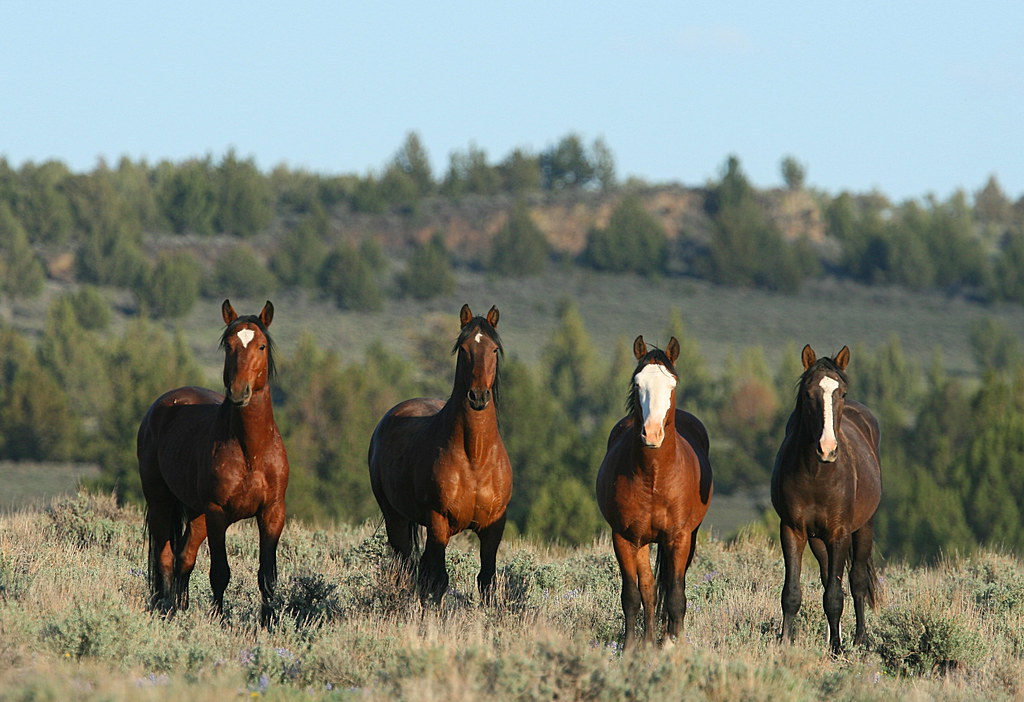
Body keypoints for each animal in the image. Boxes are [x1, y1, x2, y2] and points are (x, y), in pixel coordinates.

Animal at [137, 300, 289, 626]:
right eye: (228, 345)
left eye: (261, 346)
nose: (239, 391)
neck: (251, 451)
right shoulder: (218, 513)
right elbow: (220, 573)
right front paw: (218, 620)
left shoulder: (272, 513)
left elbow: (267, 575)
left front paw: (268, 622)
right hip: (160, 500)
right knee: (164, 556)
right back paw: (165, 608)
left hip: (196, 513)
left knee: (184, 557)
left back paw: (179, 607)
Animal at [368, 304, 512, 603]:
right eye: (464, 348)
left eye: (494, 349)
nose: (478, 396)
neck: (475, 456)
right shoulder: (438, 522)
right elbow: (437, 580)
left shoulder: (493, 527)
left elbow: (486, 579)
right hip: (395, 517)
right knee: (405, 565)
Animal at [596, 336, 713, 648]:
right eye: (638, 384)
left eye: (672, 384)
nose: (652, 434)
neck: (654, 478)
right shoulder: (624, 538)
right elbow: (633, 595)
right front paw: (631, 648)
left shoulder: (679, 538)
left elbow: (675, 595)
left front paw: (674, 643)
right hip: (643, 542)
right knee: (648, 589)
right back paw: (649, 640)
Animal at [771, 344, 881, 655]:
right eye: (808, 393)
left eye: (840, 393)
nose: (827, 449)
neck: (817, 474)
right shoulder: (792, 530)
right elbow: (792, 593)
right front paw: (785, 641)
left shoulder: (839, 533)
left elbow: (835, 595)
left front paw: (837, 650)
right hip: (818, 540)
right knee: (829, 576)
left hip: (863, 528)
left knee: (856, 581)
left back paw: (859, 638)